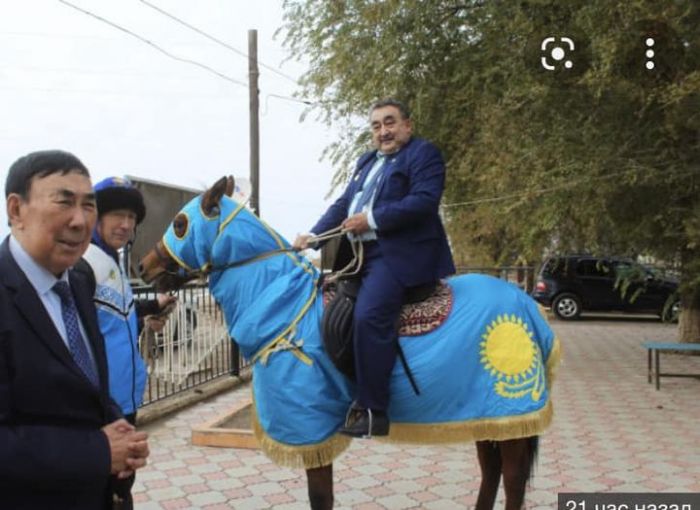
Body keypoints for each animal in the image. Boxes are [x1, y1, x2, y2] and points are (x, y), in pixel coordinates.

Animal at [139, 176, 560, 510]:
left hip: (510, 410)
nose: (143, 267)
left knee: (513, 478)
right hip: (486, 413)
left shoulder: (310, 424)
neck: (286, 304)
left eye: (180, 224)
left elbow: (320, 496)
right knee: (491, 472)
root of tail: (527, 306)